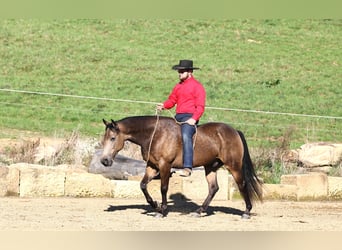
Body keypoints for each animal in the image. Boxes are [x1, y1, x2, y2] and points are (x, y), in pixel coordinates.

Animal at [100, 115, 264, 219]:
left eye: (113, 138)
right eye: (104, 139)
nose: (104, 161)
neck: (155, 134)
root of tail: (234, 131)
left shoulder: (165, 165)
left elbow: (163, 188)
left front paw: (162, 210)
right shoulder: (152, 166)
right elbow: (143, 185)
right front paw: (155, 205)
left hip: (234, 166)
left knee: (242, 185)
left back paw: (246, 212)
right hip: (210, 167)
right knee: (213, 188)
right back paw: (199, 211)